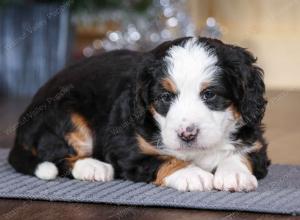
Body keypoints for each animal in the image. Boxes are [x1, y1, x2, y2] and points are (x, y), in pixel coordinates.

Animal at [8, 37, 270, 192]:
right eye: (165, 97)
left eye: (210, 95)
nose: (187, 134)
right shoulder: (126, 147)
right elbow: (162, 159)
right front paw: (191, 174)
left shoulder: (255, 140)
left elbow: (243, 153)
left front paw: (235, 174)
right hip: (66, 115)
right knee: (57, 154)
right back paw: (93, 167)